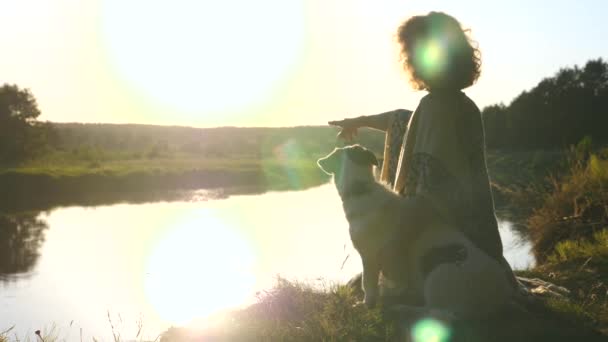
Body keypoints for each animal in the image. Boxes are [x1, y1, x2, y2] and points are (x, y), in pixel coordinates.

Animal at [318, 144, 512, 318]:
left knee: (440, 314)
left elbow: (369, 286)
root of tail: (498, 299)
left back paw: (402, 309)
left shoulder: (369, 257)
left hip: (438, 275)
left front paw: (366, 305)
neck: (361, 189)